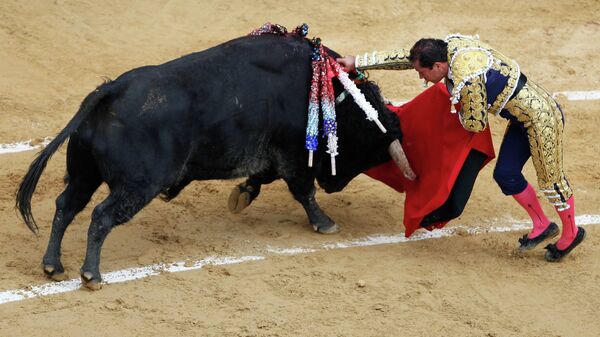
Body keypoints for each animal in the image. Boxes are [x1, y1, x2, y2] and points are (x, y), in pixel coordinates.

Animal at [15, 32, 412, 288]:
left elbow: (263, 178)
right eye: (368, 145)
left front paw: (243, 194)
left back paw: (54, 266)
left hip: (85, 173)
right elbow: (304, 192)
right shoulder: (294, 158)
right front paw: (325, 222)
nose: (334, 185)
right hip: (138, 185)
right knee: (100, 215)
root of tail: (110, 89)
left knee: (66, 205)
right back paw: (92, 275)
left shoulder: (271, 156)